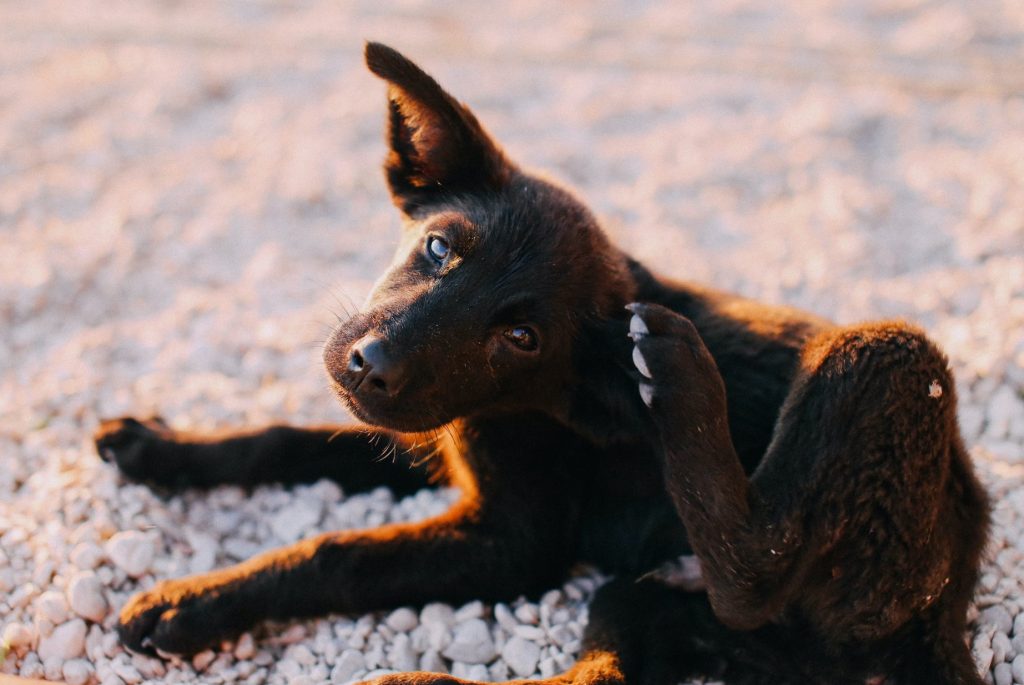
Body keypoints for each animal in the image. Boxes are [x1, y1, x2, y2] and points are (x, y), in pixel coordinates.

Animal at [96, 42, 991, 683]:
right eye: (439, 246)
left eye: (523, 336)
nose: (367, 365)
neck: (528, 402)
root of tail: (949, 593)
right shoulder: (431, 437)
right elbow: (285, 437)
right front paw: (159, 447)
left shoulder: (513, 540)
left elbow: (341, 552)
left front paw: (195, 600)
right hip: (661, 604)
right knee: (617, 659)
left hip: (886, 360)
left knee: (752, 570)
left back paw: (677, 379)